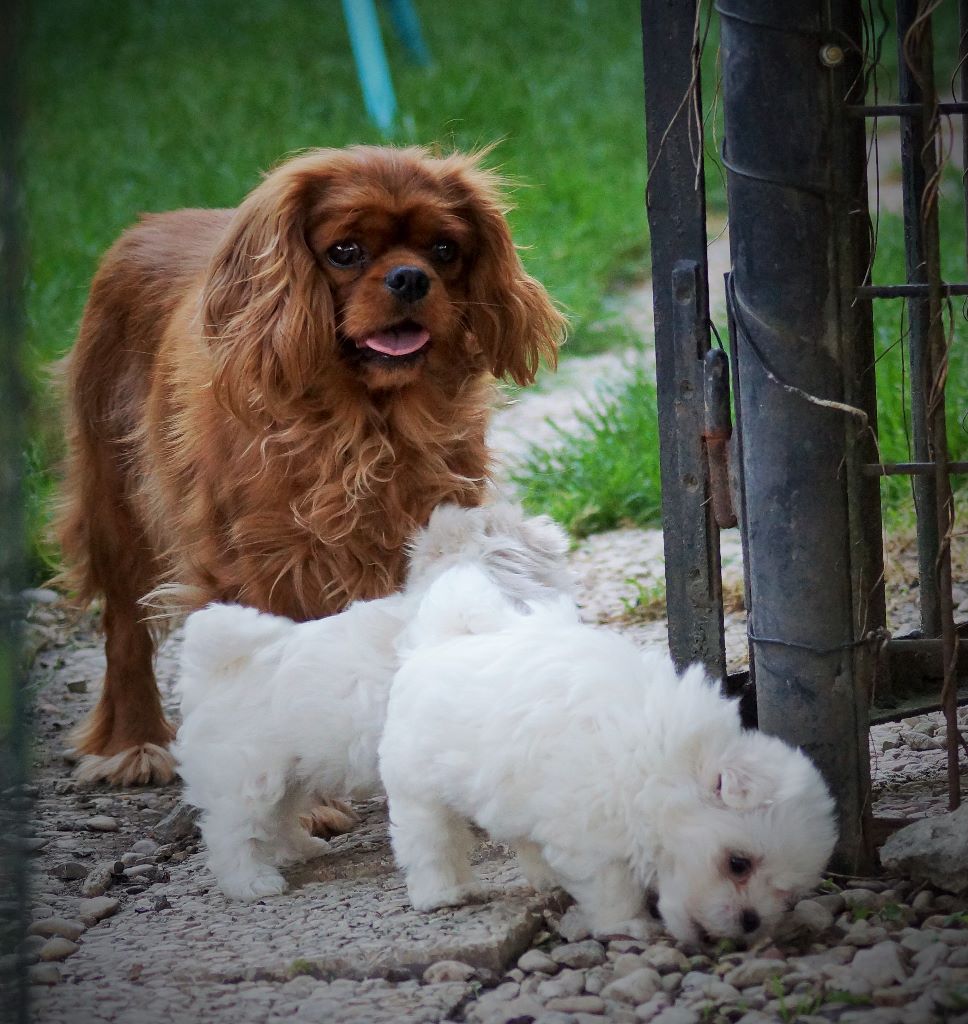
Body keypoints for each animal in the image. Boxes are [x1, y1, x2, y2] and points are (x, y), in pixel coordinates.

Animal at [56, 142, 561, 782]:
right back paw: (134, 742)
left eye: (445, 249)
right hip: (117, 506)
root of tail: (140, 227)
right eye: (345, 252)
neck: (363, 422)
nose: (409, 276)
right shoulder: (252, 563)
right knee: (124, 629)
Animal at [172, 501, 573, 897]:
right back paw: (251, 882)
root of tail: (217, 669)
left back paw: (302, 849)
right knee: (233, 832)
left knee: (280, 818)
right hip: (246, 778)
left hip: (291, 774)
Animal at [376, 569, 839, 942]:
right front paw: (627, 925)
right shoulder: (591, 826)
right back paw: (443, 893)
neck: (663, 765)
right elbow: (611, 884)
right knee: (429, 838)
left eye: (787, 894)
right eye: (738, 864)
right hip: (416, 786)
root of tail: (436, 642)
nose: (751, 922)